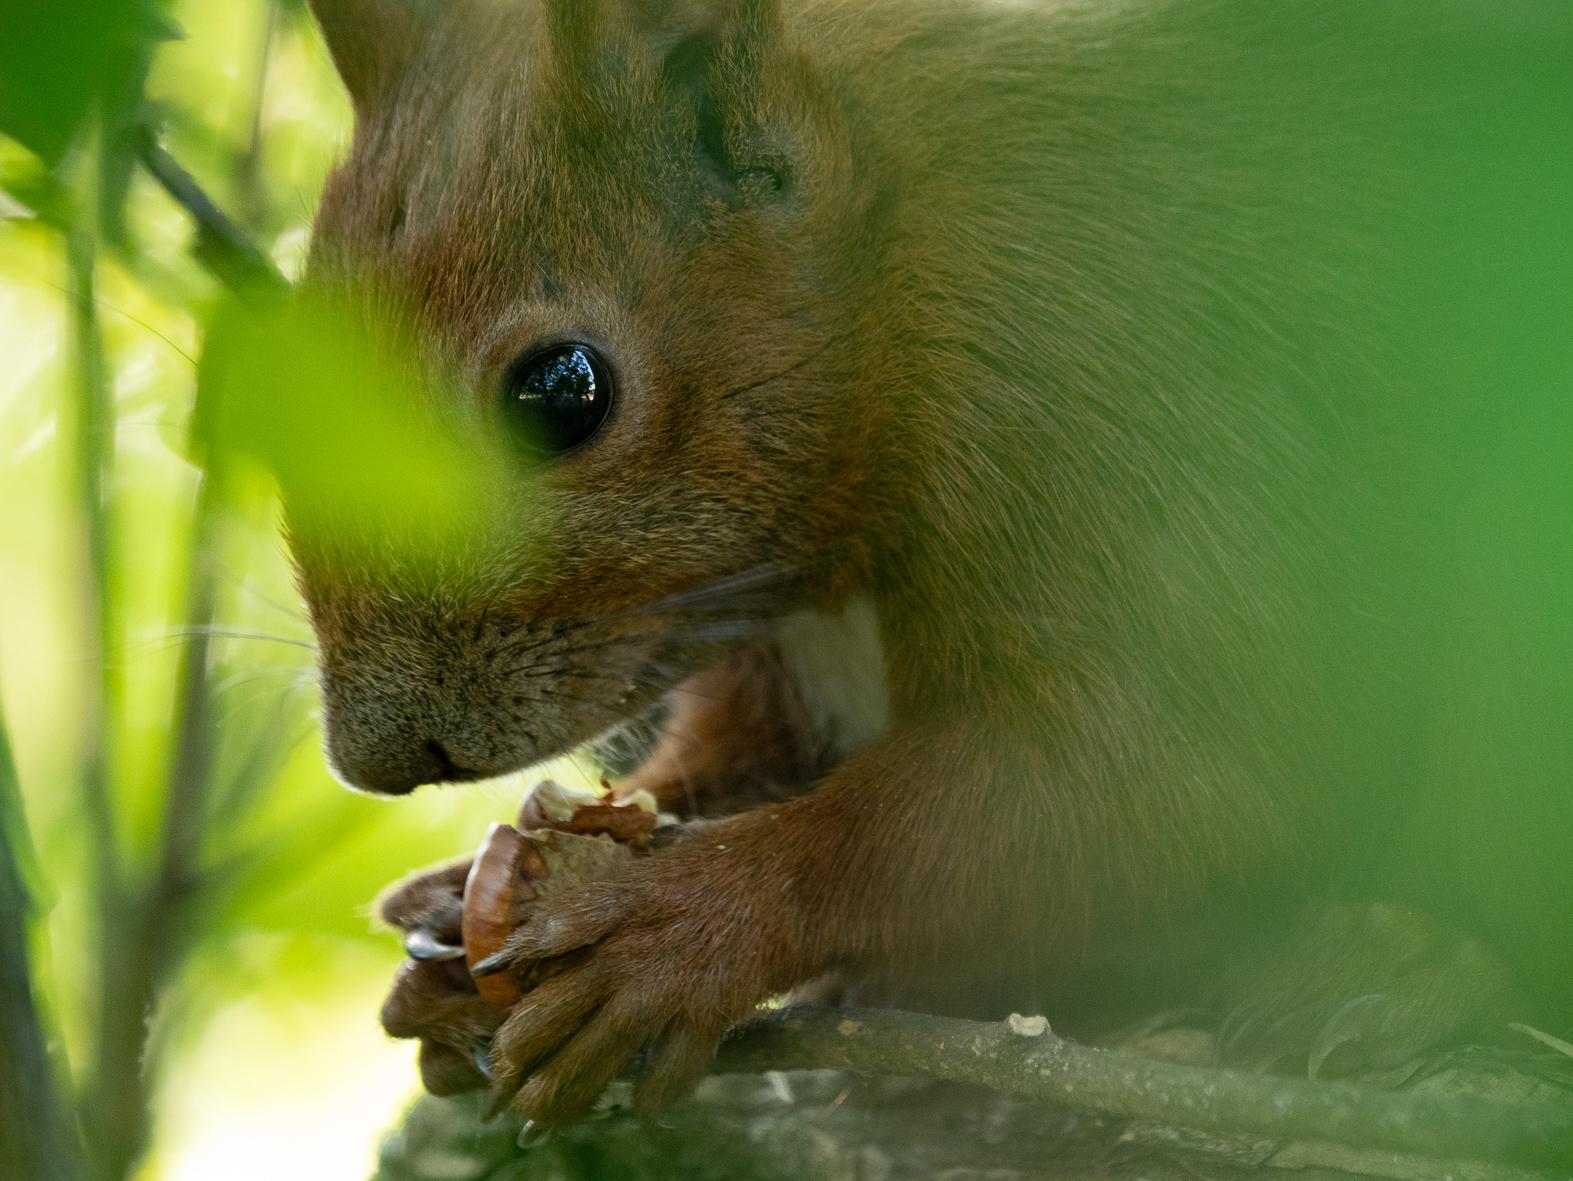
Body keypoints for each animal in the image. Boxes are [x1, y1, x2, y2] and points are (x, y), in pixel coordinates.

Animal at [291, 0, 1573, 1125]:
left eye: (561, 393)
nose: (375, 757)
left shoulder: (1134, 395)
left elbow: (1171, 775)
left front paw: (676, 921)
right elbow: (744, 753)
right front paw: (470, 903)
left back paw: (1393, 966)